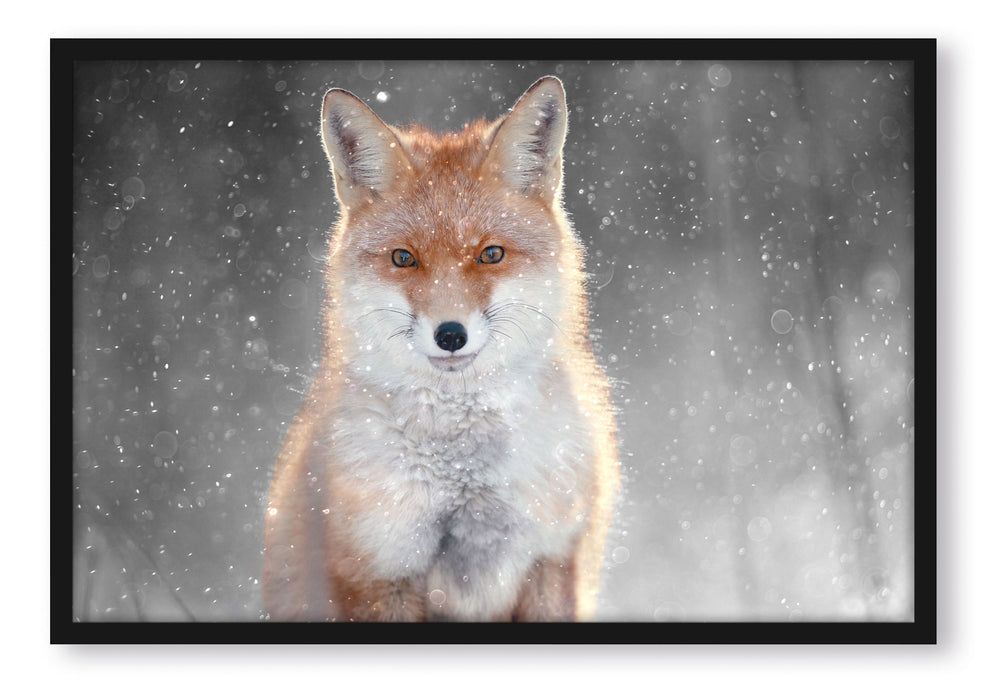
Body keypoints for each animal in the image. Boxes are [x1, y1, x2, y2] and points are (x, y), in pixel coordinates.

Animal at [262, 75, 620, 622]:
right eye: (403, 258)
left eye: (490, 254)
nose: (450, 335)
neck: (463, 473)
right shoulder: (378, 569)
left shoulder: (554, 557)